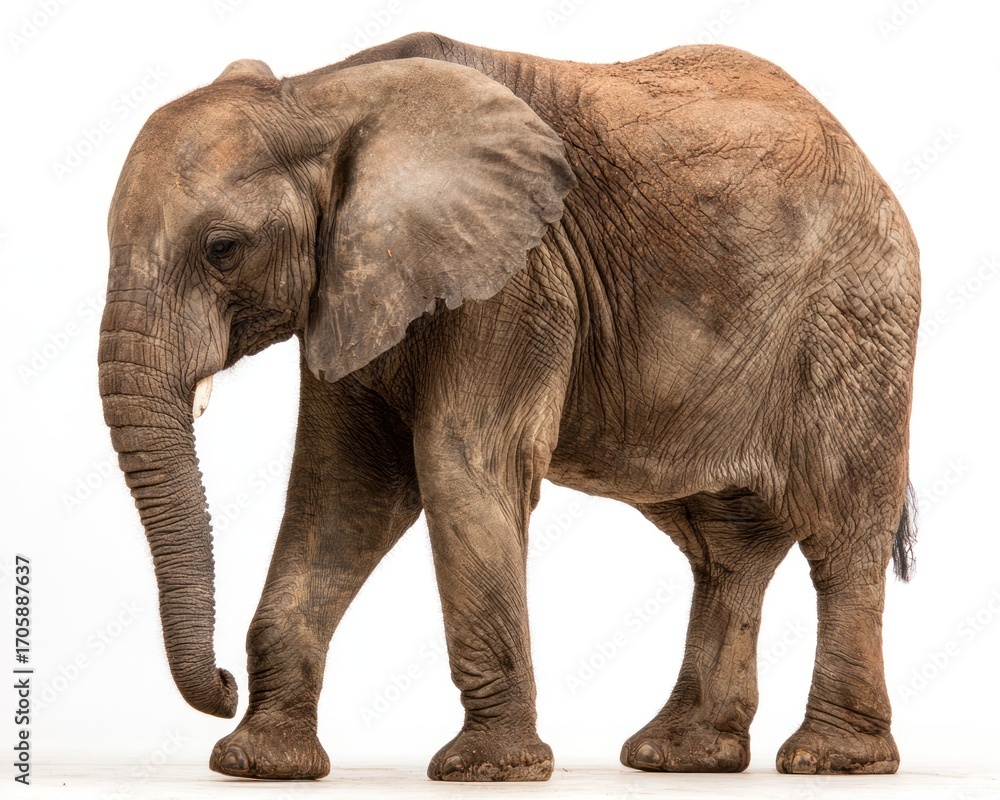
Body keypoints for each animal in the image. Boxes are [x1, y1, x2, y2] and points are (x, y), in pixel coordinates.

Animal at [98, 32, 919, 782]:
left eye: (223, 249)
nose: (222, 687)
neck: (322, 97)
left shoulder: (519, 279)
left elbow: (458, 466)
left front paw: (488, 769)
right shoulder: (351, 291)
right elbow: (342, 491)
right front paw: (258, 763)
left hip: (854, 319)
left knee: (842, 529)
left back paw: (829, 759)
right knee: (725, 547)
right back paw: (679, 756)